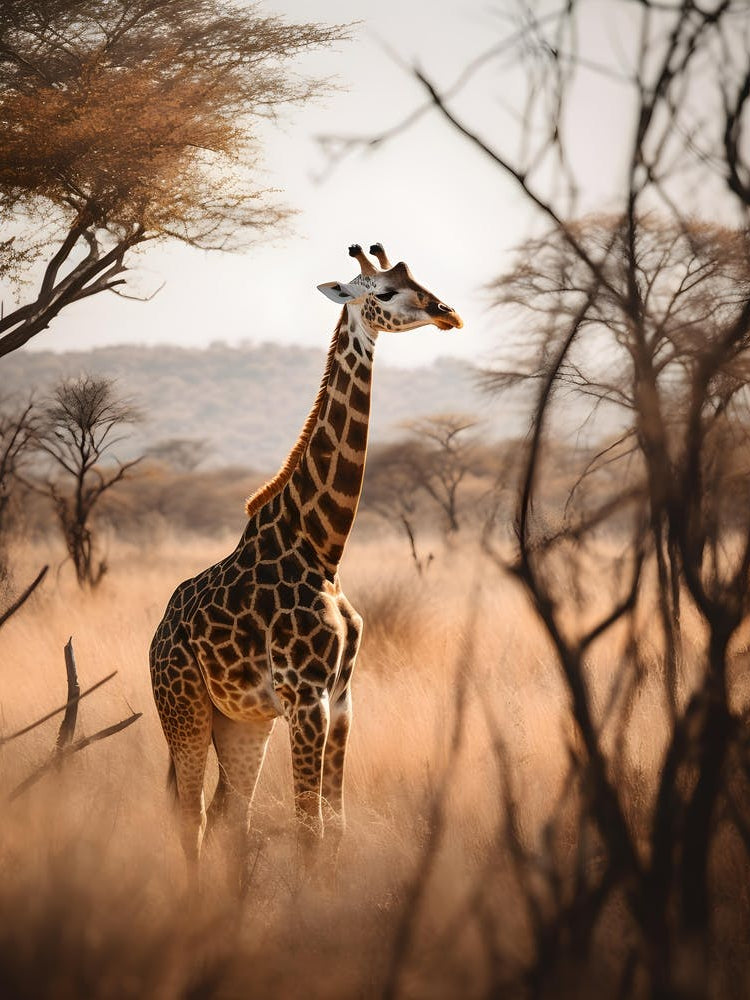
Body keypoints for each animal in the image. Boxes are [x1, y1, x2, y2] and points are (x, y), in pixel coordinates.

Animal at [149, 243, 463, 867]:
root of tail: (157, 637)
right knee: (191, 816)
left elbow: (334, 829)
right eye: (384, 291)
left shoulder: (341, 697)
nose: (447, 313)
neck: (322, 549)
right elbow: (308, 830)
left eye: (416, 278)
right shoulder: (306, 695)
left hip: (240, 721)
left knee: (230, 816)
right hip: (183, 708)